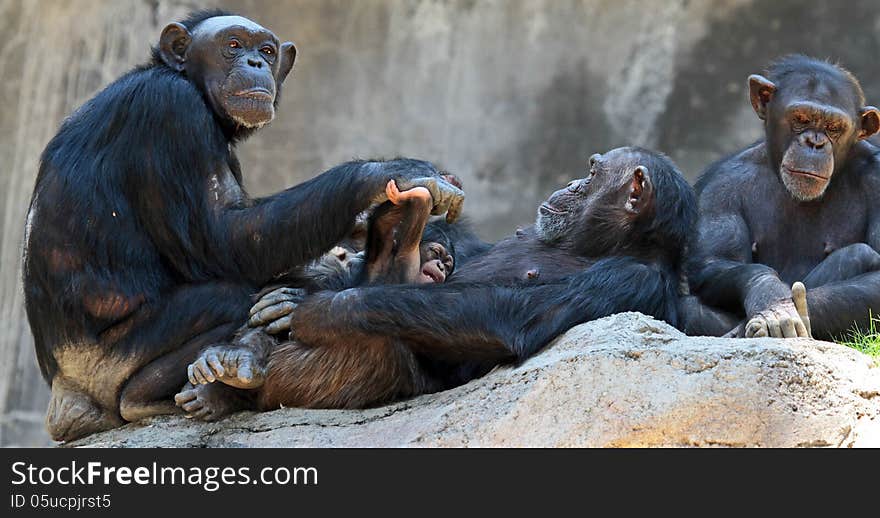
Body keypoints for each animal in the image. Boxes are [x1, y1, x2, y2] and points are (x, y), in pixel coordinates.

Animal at [20, 10, 464, 442]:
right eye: (232, 45)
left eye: (266, 51)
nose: (254, 63)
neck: (188, 82)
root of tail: (64, 399)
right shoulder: (171, 109)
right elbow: (224, 239)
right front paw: (393, 174)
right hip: (105, 367)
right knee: (230, 296)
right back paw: (159, 394)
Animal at [180, 145, 696, 418]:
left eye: (591, 174)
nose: (570, 183)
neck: (591, 245)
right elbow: (468, 254)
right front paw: (300, 292)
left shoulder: (628, 280)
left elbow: (514, 315)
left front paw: (316, 306)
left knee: (376, 351)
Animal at [688, 55, 880, 342]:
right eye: (800, 118)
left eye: (834, 127)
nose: (814, 142)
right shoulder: (719, 188)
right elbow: (714, 262)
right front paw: (770, 299)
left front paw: (784, 312)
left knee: (860, 253)